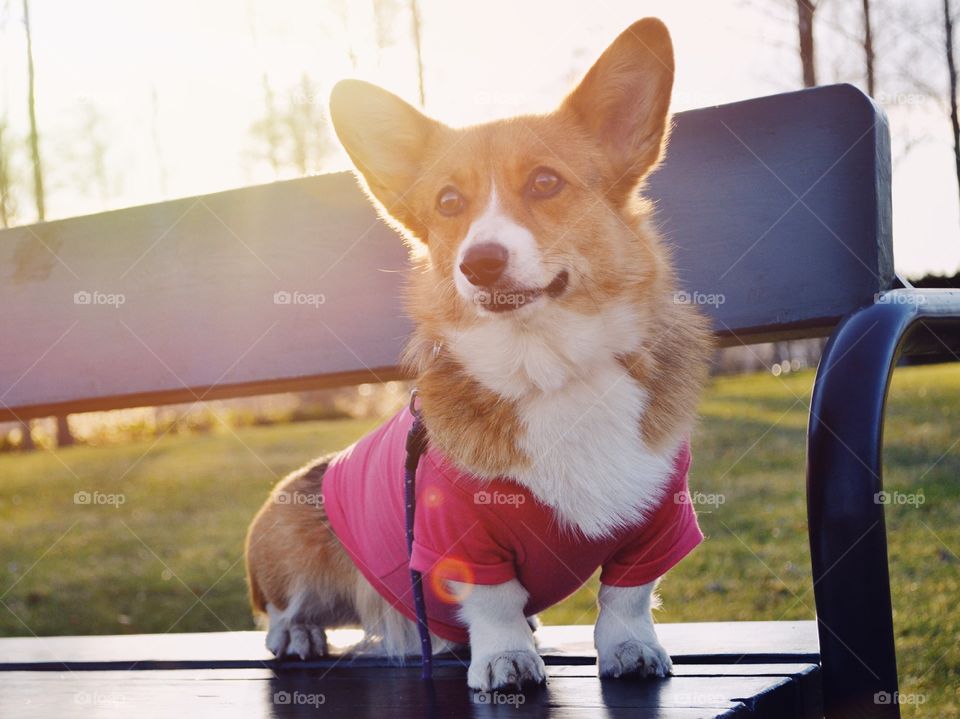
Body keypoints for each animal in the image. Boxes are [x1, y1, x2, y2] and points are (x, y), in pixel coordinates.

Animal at [248, 16, 712, 692]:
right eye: (447, 202)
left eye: (545, 182)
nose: (480, 262)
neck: (549, 370)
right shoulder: (455, 537)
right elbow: (494, 604)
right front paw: (505, 659)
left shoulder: (659, 523)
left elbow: (625, 598)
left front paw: (631, 648)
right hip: (295, 543)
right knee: (283, 611)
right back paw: (301, 634)